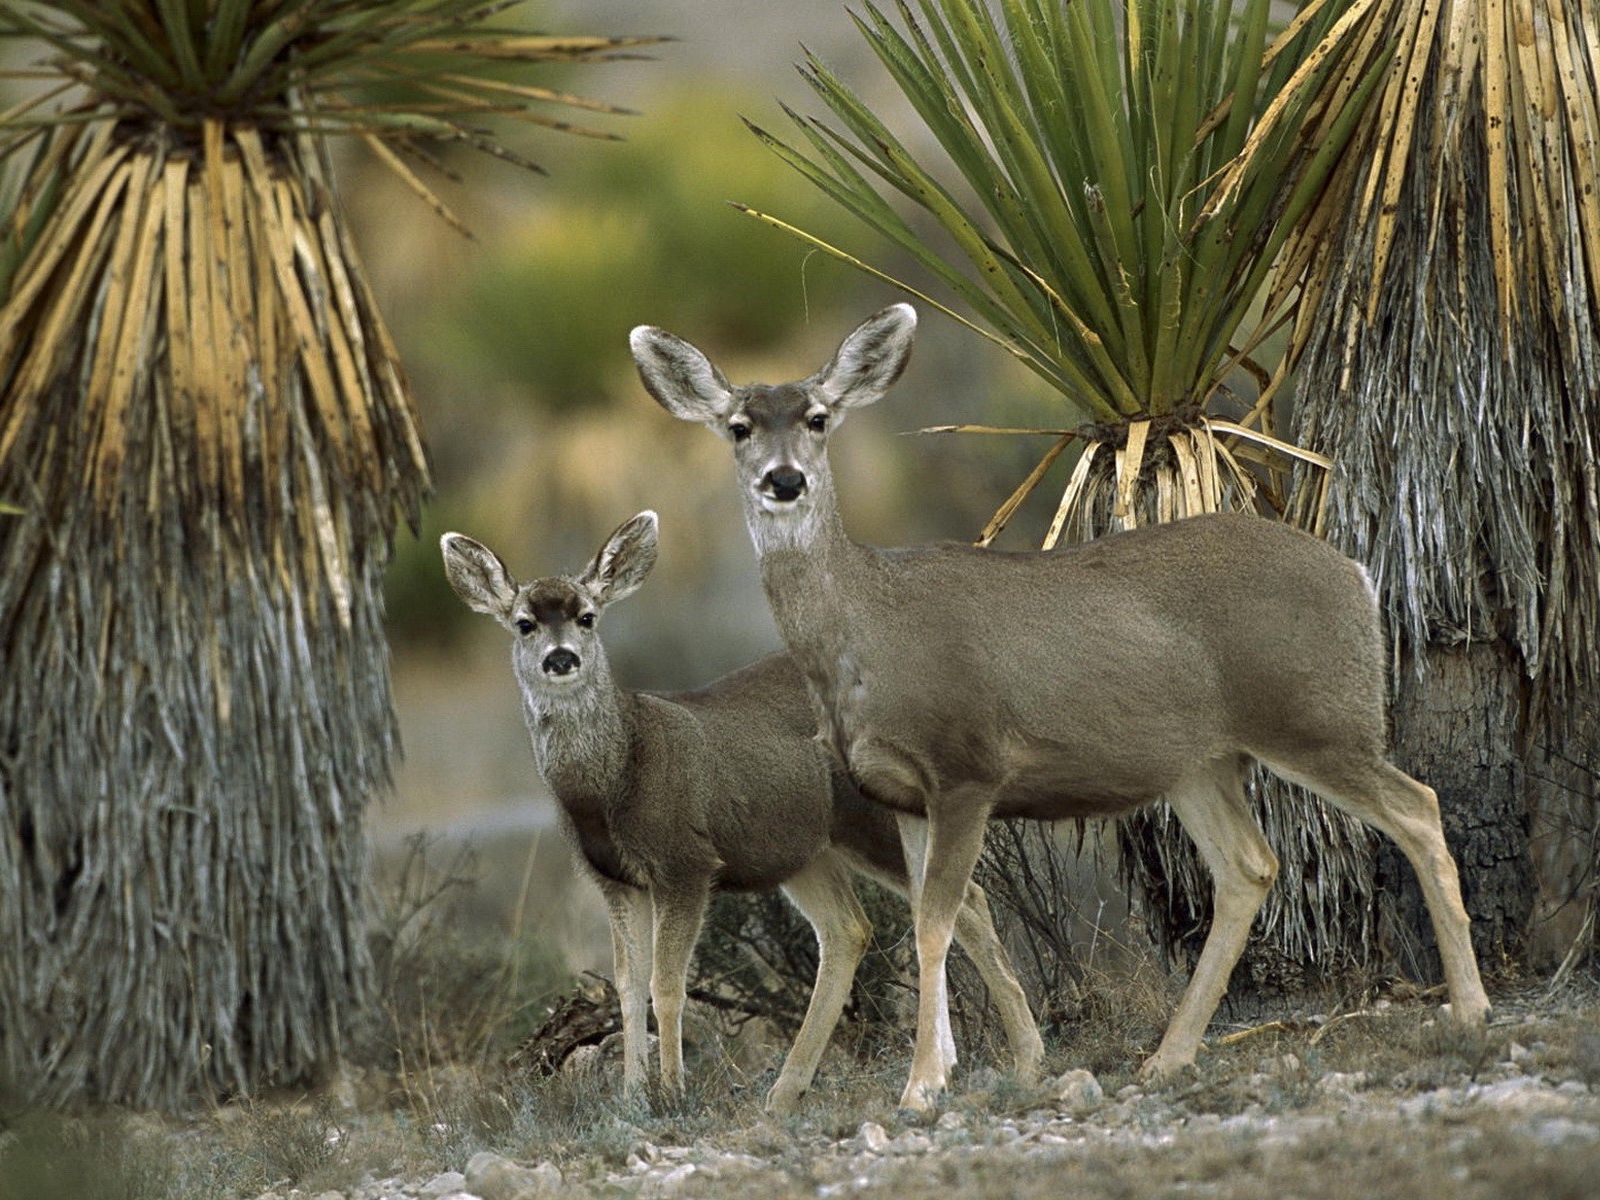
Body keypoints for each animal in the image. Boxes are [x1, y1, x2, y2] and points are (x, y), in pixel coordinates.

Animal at [441, 512, 1036, 1113]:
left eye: (587, 616)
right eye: (523, 624)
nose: (561, 658)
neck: (615, 777)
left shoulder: (685, 862)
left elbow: (666, 985)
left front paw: (672, 1092)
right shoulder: (614, 880)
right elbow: (626, 987)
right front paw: (632, 1097)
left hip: (871, 821)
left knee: (964, 899)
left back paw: (1023, 1058)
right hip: (803, 850)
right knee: (850, 928)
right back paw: (788, 1090)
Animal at [630, 307, 1491, 1107]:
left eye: (816, 417)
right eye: (739, 427)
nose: (784, 480)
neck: (867, 633)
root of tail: (1357, 574)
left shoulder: (968, 765)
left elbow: (936, 920)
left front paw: (921, 1084)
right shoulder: (900, 792)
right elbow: (946, 918)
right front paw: (959, 1068)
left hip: (1315, 716)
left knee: (1417, 807)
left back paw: (1471, 1009)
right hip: (1200, 761)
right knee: (1250, 867)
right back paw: (1168, 1056)